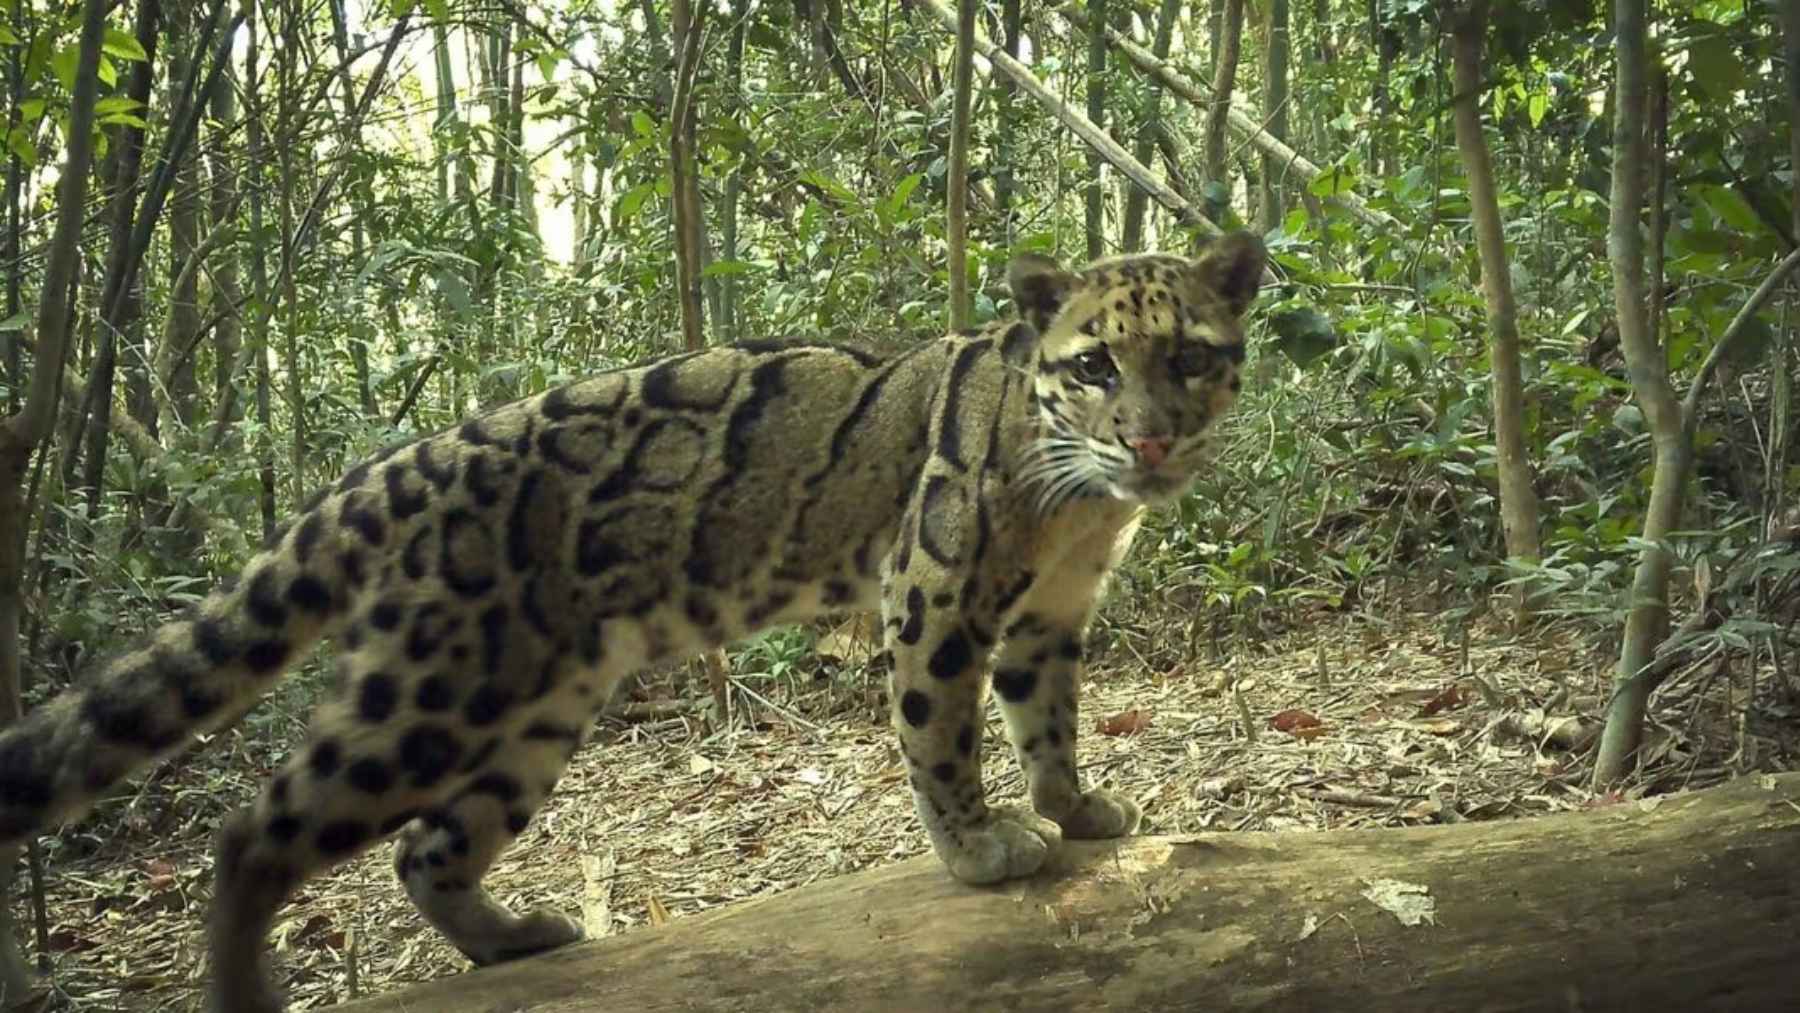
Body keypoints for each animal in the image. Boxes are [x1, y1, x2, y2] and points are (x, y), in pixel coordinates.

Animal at [0, 231, 1265, 1012]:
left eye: (1190, 355)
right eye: (1094, 364)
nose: (1151, 437)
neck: (1085, 505)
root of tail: (401, 460)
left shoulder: (1051, 615)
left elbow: (1047, 716)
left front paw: (1078, 806)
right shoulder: (936, 586)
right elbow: (941, 730)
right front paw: (979, 846)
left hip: (532, 706)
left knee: (427, 846)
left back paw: (512, 937)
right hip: (433, 691)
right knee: (253, 833)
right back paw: (245, 986)